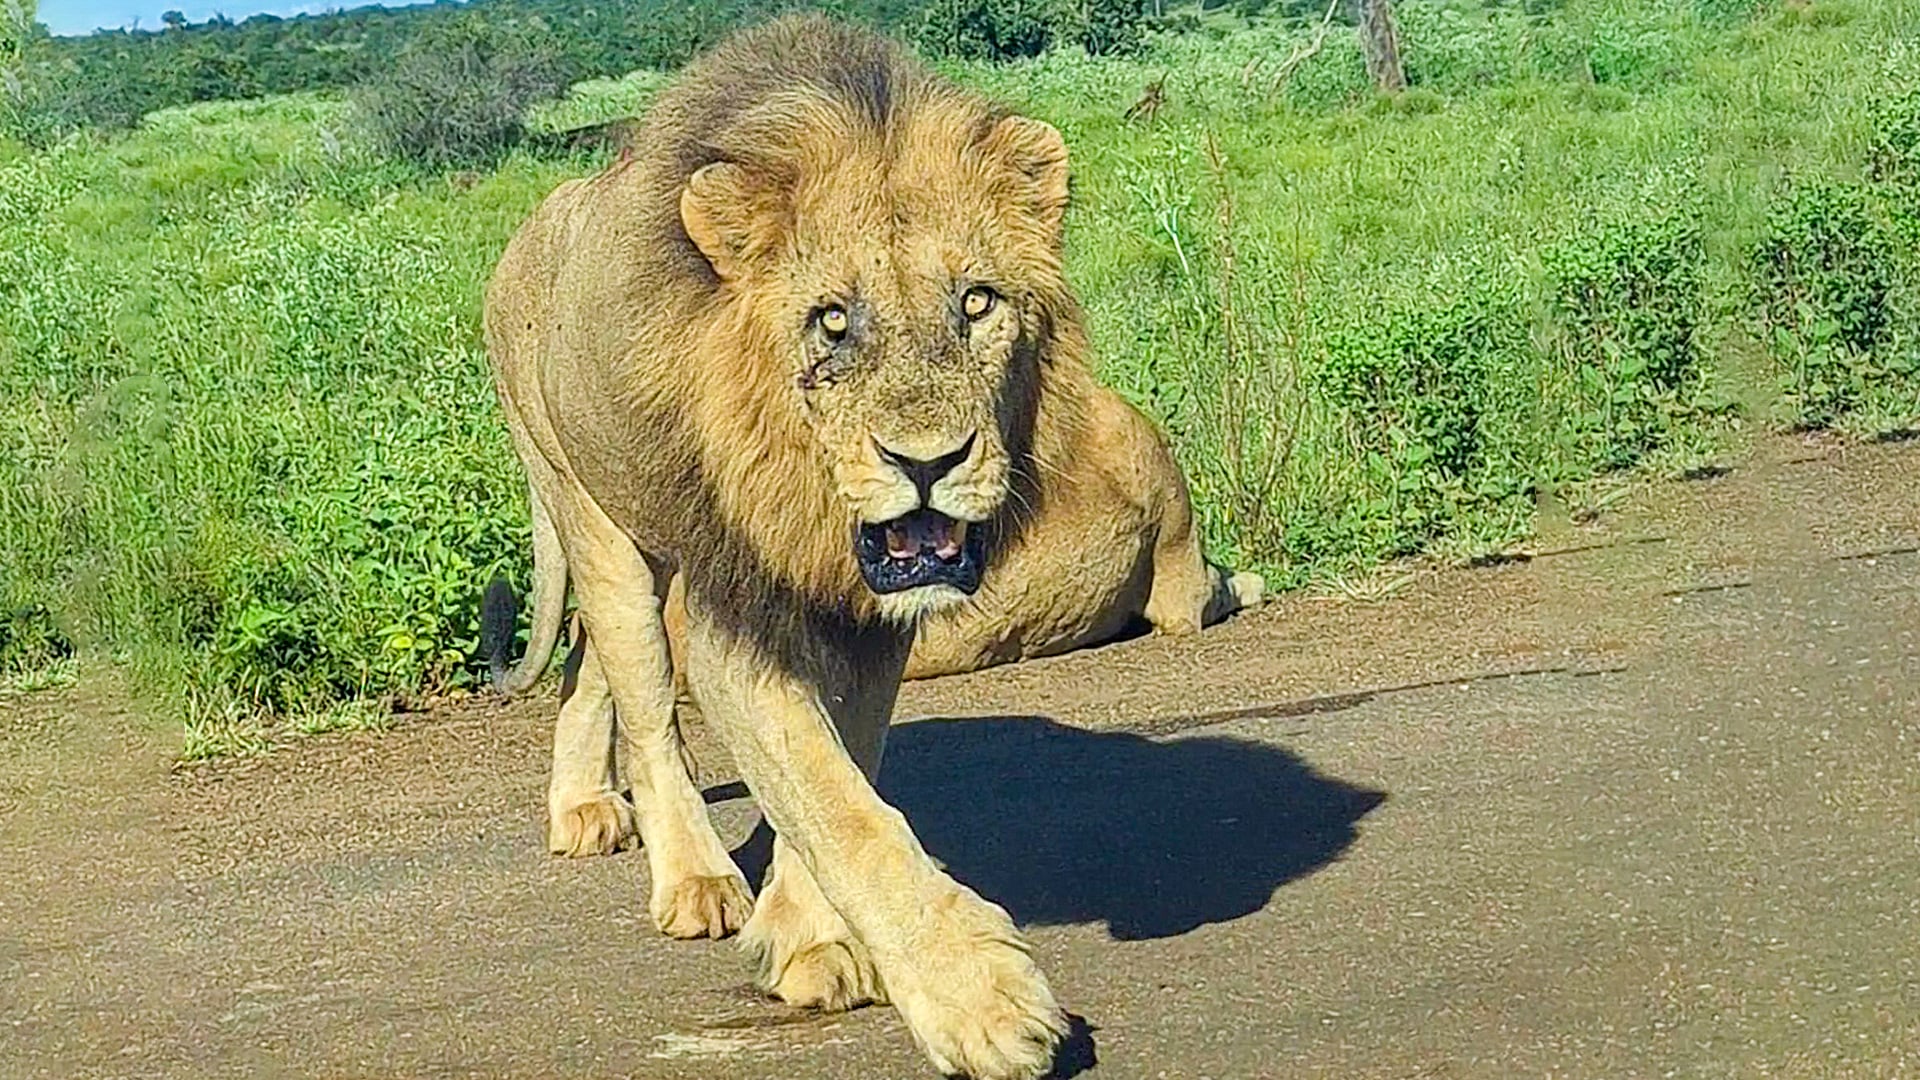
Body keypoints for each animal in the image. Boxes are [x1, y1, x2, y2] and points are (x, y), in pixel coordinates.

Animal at [480, 16, 1105, 1077]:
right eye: (833, 320)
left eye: (978, 303)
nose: (928, 461)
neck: (814, 518)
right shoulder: (734, 620)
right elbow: (836, 807)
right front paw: (979, 1001)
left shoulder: (876, 628)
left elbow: (843, 770)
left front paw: (808, 938)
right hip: (593, 519)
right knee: (645, 708)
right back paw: (692, 881)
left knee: (584, 671)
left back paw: (583, 813)